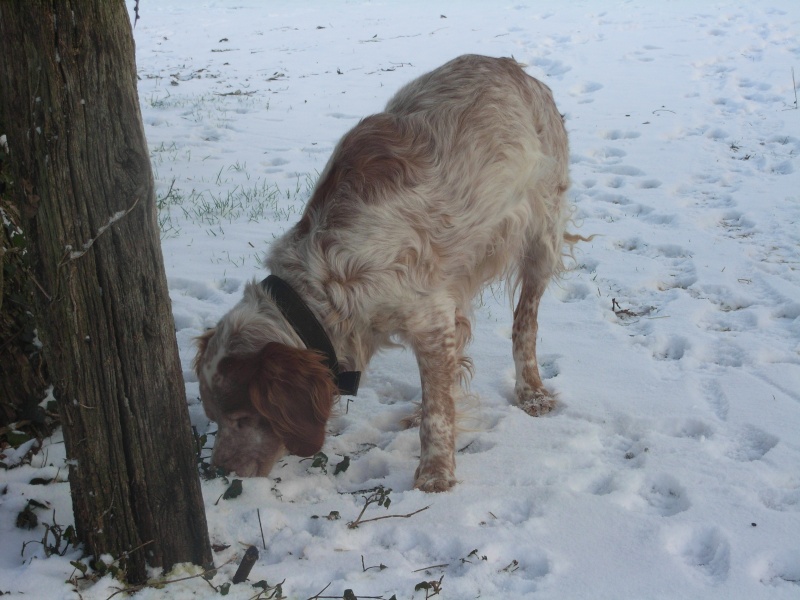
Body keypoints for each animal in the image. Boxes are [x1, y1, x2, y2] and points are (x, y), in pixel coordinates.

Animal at [195, 54, 580, 492]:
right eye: (215, 417)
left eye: (243, 418)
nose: (219, 471)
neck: (326, 276)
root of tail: (513, 67)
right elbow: (442, 389)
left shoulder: (430, 320)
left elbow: (438, 411)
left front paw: (435, 474)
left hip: (541, 236)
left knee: (525, 321)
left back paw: (532, 391)